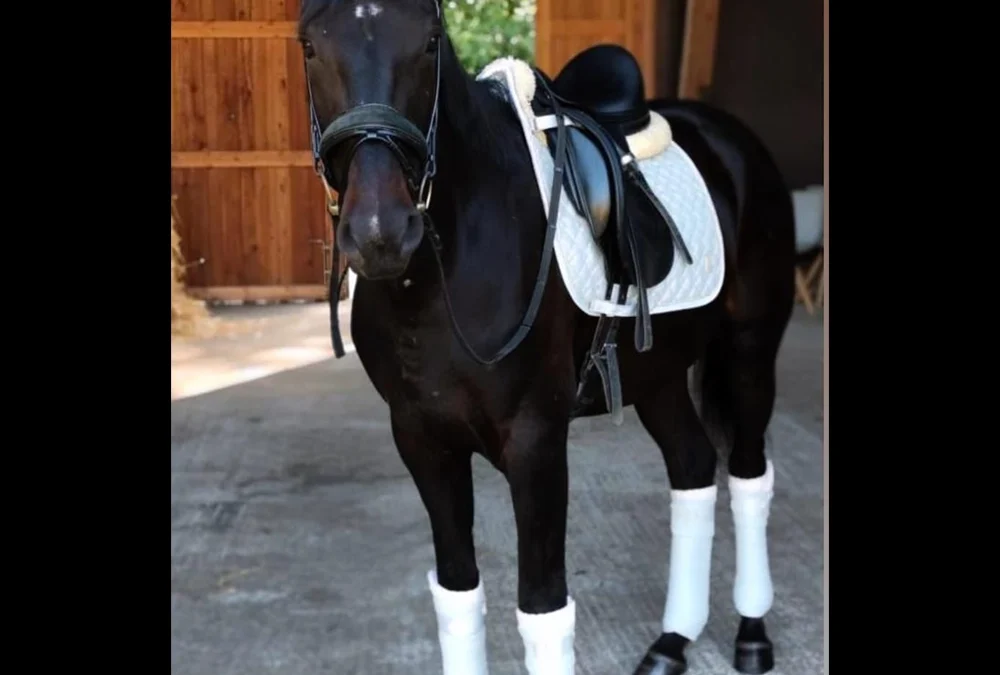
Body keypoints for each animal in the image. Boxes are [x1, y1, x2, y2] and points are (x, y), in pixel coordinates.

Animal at [298, 1, 796, 674]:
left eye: (430, 43)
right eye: (310, 47)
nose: (381, 233)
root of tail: (729, 139)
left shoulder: (535, 441)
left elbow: (542, 611)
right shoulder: (422, 439)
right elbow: (458, 593)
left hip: (750, 350)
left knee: (747, 476)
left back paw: (751, 632)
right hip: (657, 374)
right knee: (693, 469)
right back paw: (671, 643)